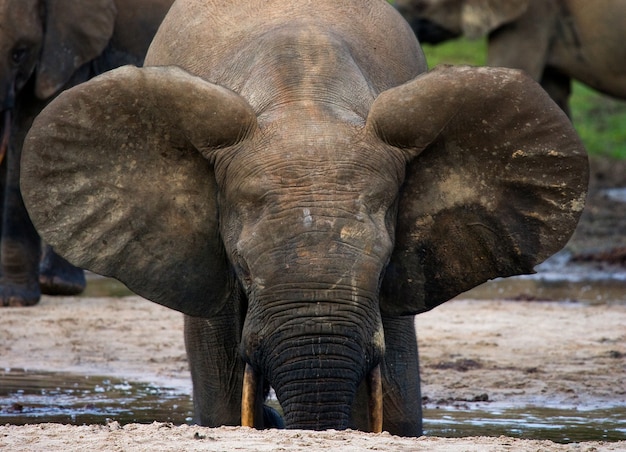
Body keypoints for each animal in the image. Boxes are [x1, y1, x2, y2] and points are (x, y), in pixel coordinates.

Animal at [19, 0, 584, 438]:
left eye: (383, 266)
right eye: (242, 267)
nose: (275, 417)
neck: (305, 106)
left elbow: (399, 399)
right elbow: (221, 391)